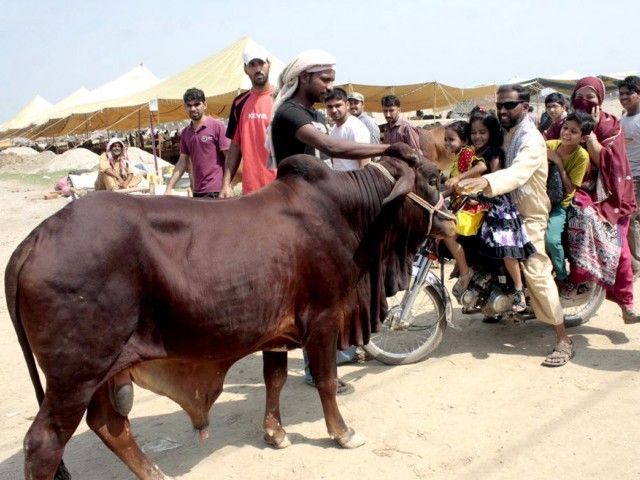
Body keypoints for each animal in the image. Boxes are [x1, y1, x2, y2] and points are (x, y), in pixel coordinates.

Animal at [6, 148, 456, 478]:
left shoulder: (277, 331)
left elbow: (274, 379)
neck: (351, 214)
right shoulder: (325, 318)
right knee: (44, 443)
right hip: (75, 375)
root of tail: (34, 239)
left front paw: (275, 433)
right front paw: (343, 433)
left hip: (102, 370)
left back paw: (155, 474)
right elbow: (327, 380)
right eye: (434, 178)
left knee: (109, 425)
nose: (453, 221)